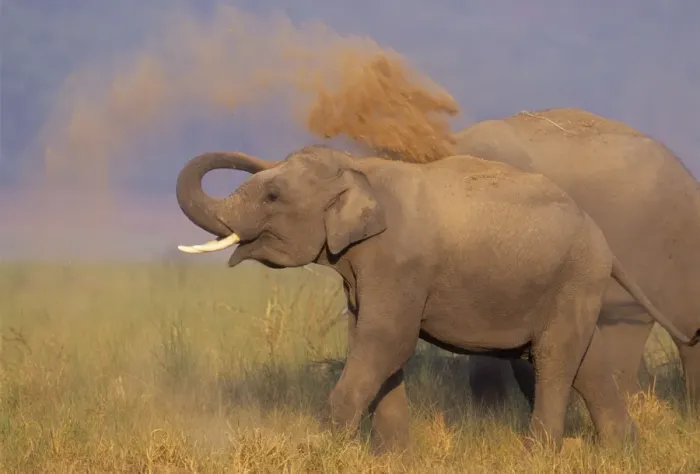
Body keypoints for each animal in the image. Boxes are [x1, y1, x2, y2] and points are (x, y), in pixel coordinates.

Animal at [174, 144, 700, 453]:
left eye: (274, 196)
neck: (362, 171)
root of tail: (603, 241)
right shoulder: (367, 272)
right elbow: (376, 343)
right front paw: (394, 457)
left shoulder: (399, 262)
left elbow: (387, 341)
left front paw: (323, 448)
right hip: (573, 284)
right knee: (586, 363)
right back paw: (623, 450)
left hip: (575, 276)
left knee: (553, 359)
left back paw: (539, 454)